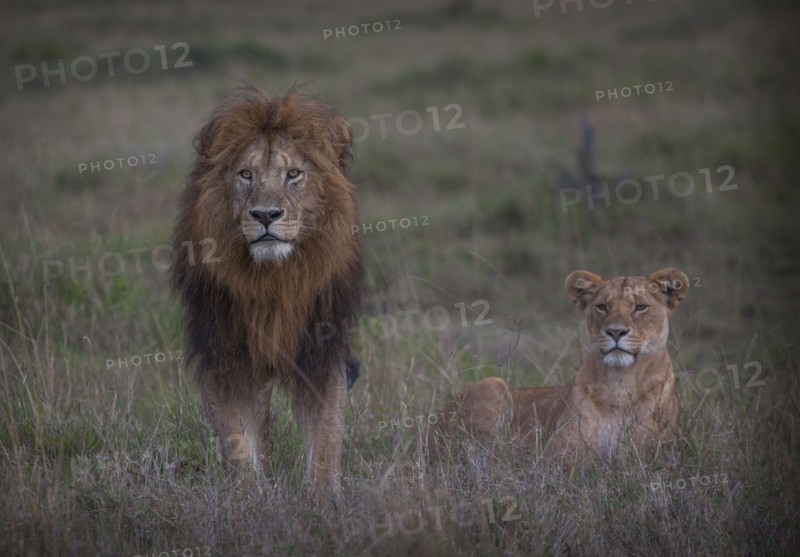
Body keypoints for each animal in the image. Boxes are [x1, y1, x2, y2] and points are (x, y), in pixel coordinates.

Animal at [170, 85, 364, 501]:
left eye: (293, 174)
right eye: (246, 174)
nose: (265, 215)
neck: (274, 280)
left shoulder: (322, 350)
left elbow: (326, 434)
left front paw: (323, 500)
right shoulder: (225, 354)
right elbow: (236, 439)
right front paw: (248, 499)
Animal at [429, 268, 689, 463]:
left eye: (640, 307)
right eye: (602, 306)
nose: (615, 332)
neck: (620, 386)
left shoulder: (657, 455)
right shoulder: (559, 454)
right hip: (493, 385)